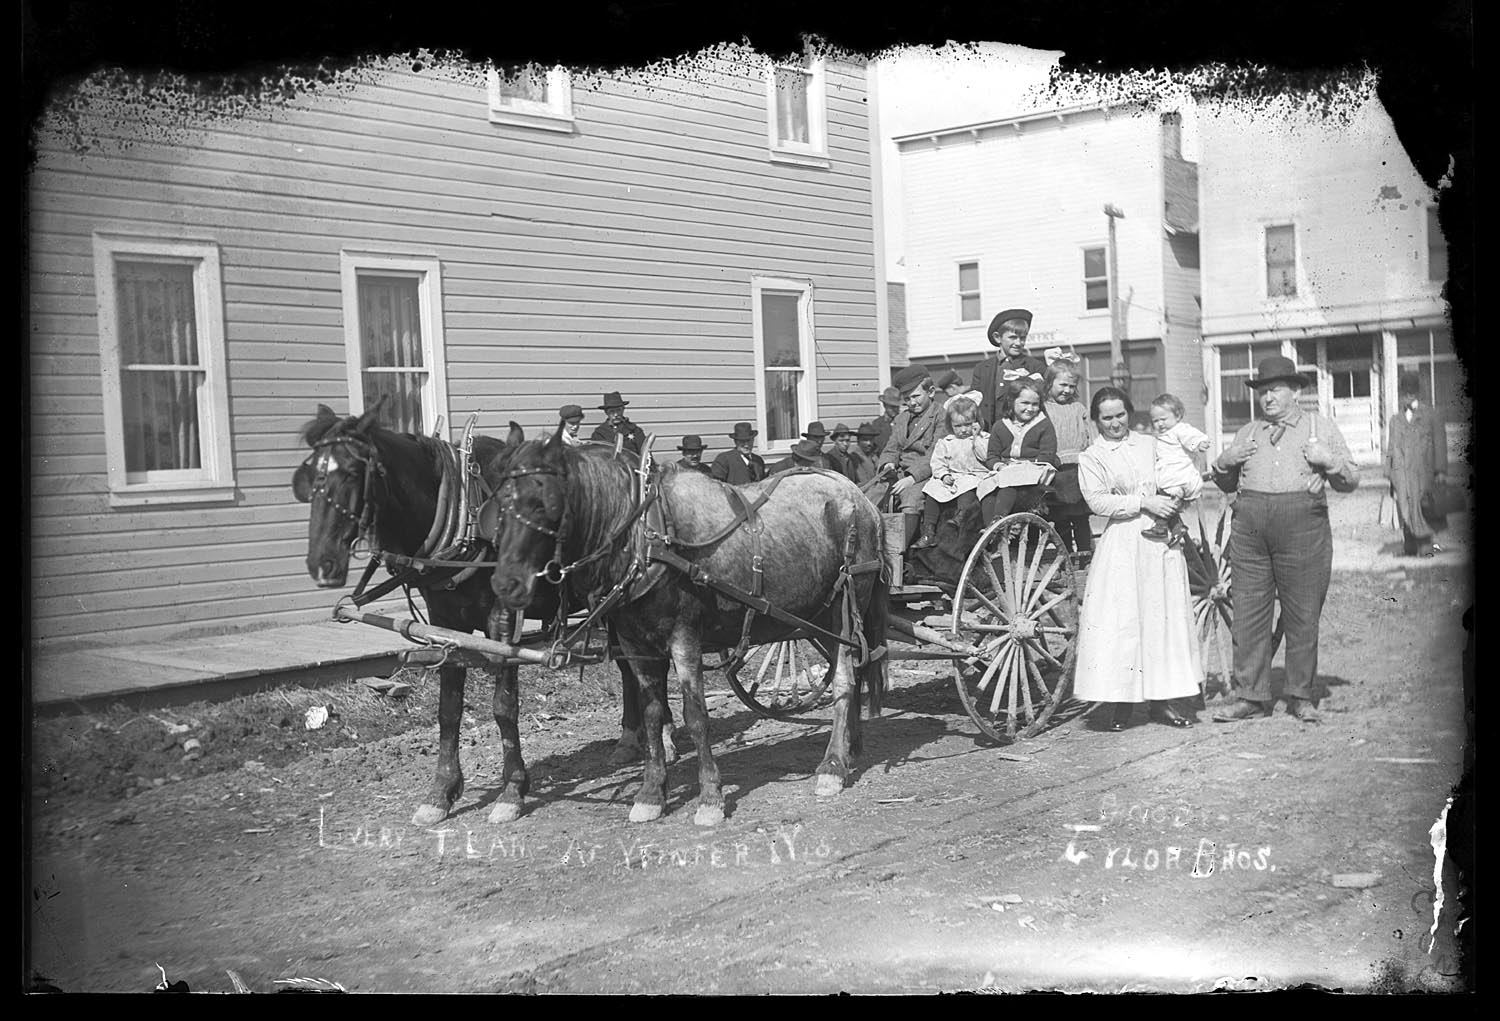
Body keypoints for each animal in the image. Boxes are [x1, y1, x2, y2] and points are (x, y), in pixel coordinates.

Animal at [289, 401, 672, 821]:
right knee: (628, 667)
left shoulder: (500, 622)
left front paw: (512, 791)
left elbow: (504, 707)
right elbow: (448, 709)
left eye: (353, 472)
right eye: (308, 475)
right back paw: (630, 739)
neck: (464, 517)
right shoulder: (444, 623)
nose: (321, 564)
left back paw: (665, 738)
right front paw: (441, 792)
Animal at [480, 425, 882, 821]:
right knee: (854, 672)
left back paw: (832, 765)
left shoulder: (684, 637)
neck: (644, 541)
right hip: (816, 618)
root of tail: (858, 498)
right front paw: (651, 793)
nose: (504, 584)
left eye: (544, 503)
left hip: (843, 611)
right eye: (500, 505)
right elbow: (653, 714)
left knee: (845, 681)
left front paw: (710, 796)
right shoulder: (637, 646)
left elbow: (695, 714)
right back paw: (851, 748)